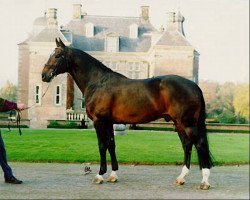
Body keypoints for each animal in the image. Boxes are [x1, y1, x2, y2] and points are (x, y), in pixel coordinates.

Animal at [41, 38, 213, 190]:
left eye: (57, 55)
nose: (44, 75)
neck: (98, 82)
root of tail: (194, 86)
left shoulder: (99, 121)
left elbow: (102, 146)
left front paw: (100, 175)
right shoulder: (109, 122)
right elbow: (111, 145)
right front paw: (113, 175)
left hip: (188, 123)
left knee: (199, 144)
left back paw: (204, 181)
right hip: (178, 123)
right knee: (187, 145)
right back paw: (181, 178)